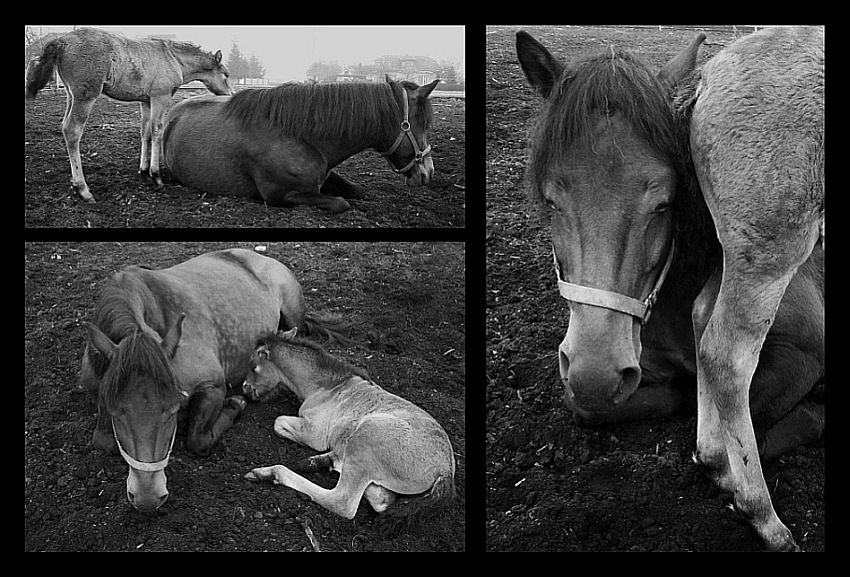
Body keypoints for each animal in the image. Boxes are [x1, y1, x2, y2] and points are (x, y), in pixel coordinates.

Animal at [25, 27, 230, 202]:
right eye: (226, 75)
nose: (230, 94)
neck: (173, 58)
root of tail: (62, 41)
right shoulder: (160, 97)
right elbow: (157, 131)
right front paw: (156, 177)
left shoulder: (146, 101)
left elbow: (145, 133)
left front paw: (144, 172)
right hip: (86, 96)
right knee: (72, 130)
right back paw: (82, 189)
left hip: (70, 95)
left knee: (64, 126)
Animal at [78, 245, 346, 510]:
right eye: (117, 413)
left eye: (173, 410)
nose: (147, 498)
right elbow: (103, 441)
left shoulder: (213, 385)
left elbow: (198, 440)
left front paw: (235, 404)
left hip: (292, 313)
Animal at [161, 76, 438, 212]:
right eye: (422, 125)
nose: (427, 172)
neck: (299, 135)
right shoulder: (283, 195)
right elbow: (341, 203)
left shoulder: (324, 176)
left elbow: (356, 191)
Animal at [242, 326, 454, 524]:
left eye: (253, 367)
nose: (245, 389)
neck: (328, 385)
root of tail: (445, 470)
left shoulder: (315, 433)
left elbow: (278, 422)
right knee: (381, 499)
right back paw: (319, 461)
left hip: (367, 434)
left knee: (342, 502)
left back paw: (269, 472)